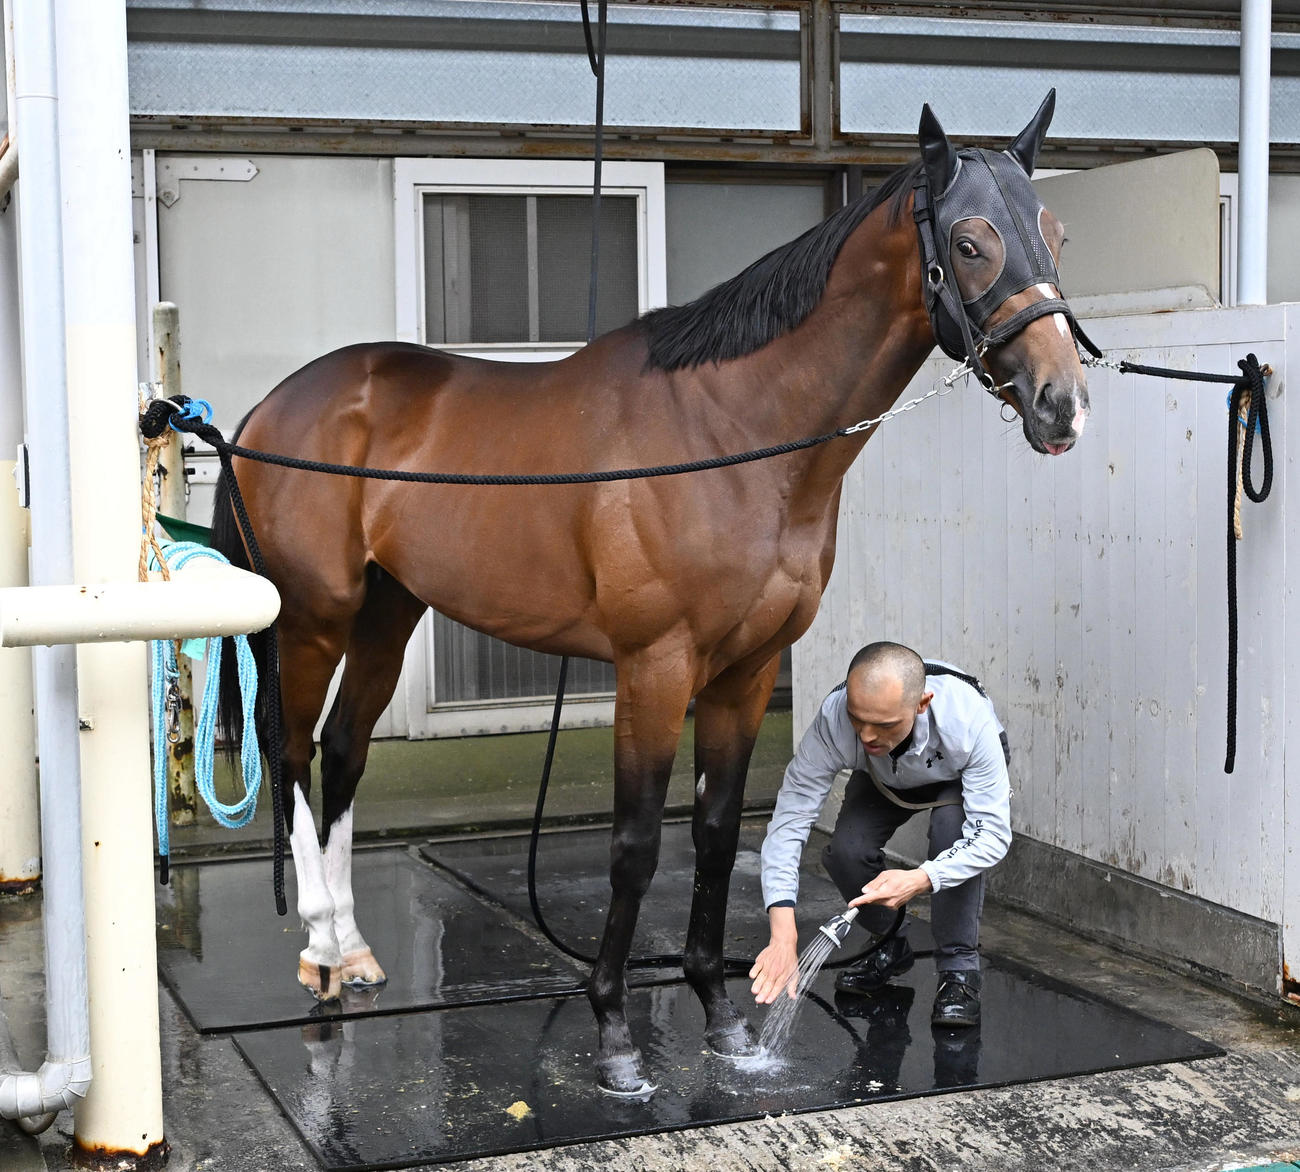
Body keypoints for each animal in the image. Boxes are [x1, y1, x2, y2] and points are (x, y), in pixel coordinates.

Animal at [211, 92, 1090, 1096]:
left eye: (1054, 232)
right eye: (974, 242)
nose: (1062, 401)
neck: (733, 434)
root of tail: (273, 409)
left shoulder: (746, 673)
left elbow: (714, 831)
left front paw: (722, 1017)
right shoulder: (654, 669)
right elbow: (635, 846)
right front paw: (616, 1035)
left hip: (389, 614)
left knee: (347, 751)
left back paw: (353, 953)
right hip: (314, 620)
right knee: (290, 754)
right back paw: (319, 948)